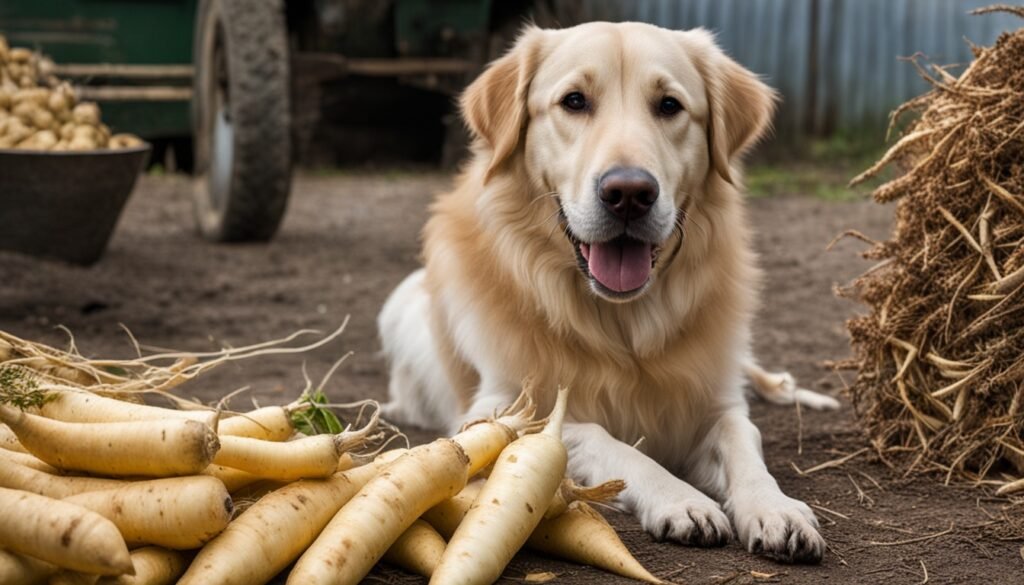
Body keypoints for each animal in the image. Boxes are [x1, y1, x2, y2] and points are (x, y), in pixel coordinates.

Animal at [380, 21, 835, 561]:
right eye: (574, 101)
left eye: (669, 105)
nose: (629, 194)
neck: (620, 321)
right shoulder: (494, 410)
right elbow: (600, 438)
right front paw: (679, 498)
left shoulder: (716, 403)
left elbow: (743, 438)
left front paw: (775, 507)